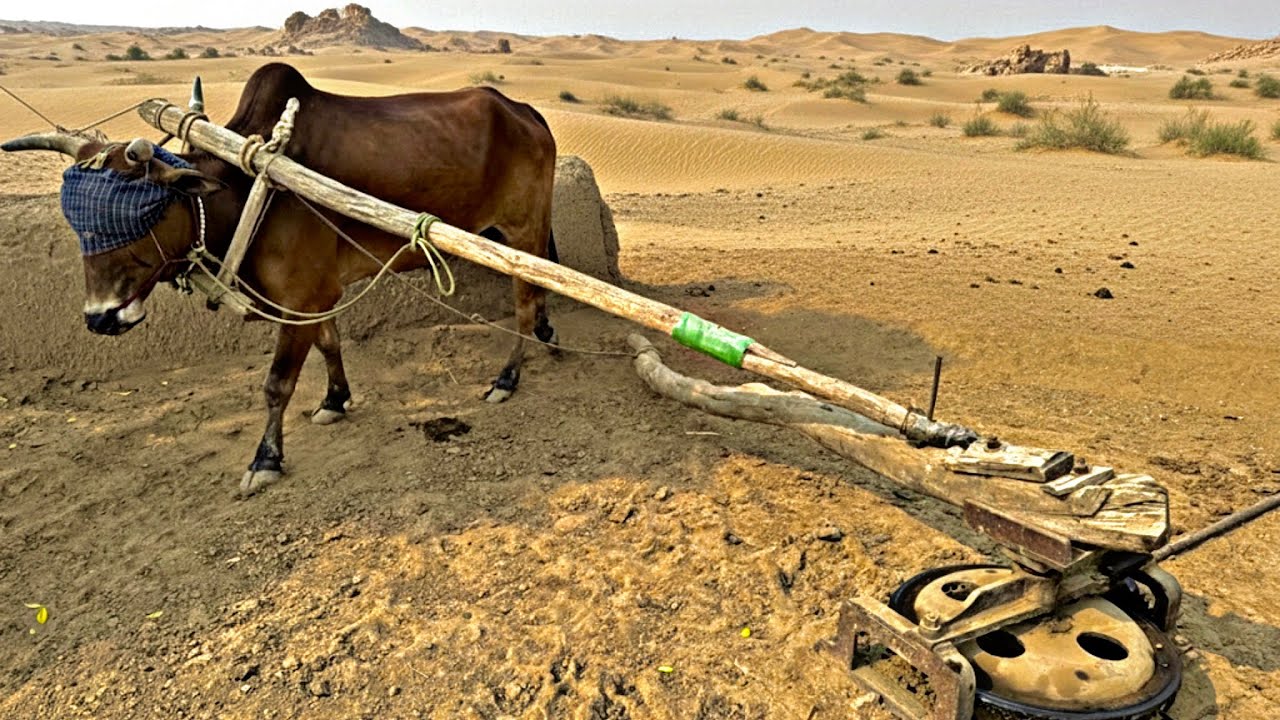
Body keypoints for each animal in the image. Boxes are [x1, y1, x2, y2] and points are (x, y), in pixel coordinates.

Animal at [2, 63, 560, 495]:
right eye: (78, 224)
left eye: (142, 217)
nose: (100, 318)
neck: (245, 187)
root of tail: (524, 112)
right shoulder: (316, 297)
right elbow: (330, 345)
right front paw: (334, 400)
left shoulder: (300, 299)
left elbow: (276, 384)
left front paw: (265, 460)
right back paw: (547, 337)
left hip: (522, 232)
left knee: (525, 302)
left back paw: (507, 378)